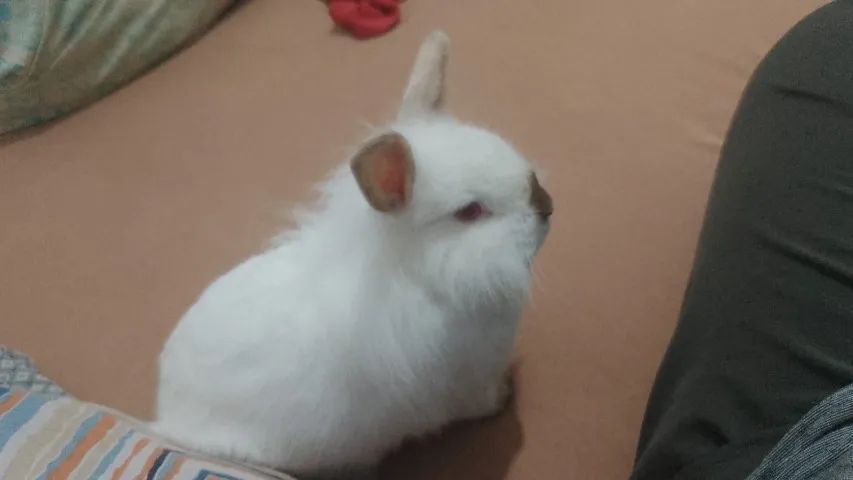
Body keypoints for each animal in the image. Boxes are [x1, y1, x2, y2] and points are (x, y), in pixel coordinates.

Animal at [152, 30, 553, 479]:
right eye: (470, 211)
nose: (546, 205)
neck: (429, 280)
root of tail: (167, 413)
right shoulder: (464, 385)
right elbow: (480, 400)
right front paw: (504, 394)